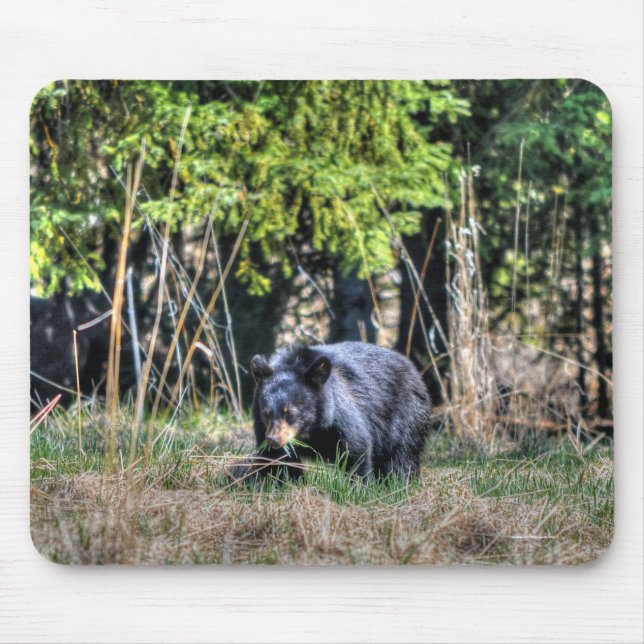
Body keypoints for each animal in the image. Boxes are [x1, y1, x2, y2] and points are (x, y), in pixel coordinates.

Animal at [250, 341, 432, 481]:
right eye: (266, 413)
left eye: (290, 412)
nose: (274, 439)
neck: (312, 428)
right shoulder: (262, 426)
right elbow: (277, 461)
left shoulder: (340, 416)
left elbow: (356, 449)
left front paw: (358, 487)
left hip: (405, 416)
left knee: (402, 455)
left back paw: (400, 483)